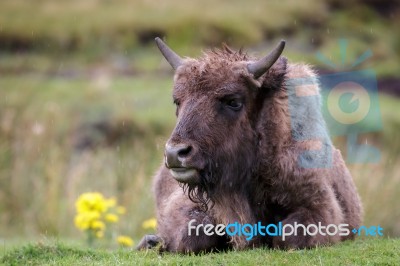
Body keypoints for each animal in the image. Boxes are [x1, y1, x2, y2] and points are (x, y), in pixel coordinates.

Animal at [138, 38, 362, 254]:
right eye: (178, 101)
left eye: (233, 101)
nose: (175, 153)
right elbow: (194, 232)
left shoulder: (319, 205)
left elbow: (289, 236)